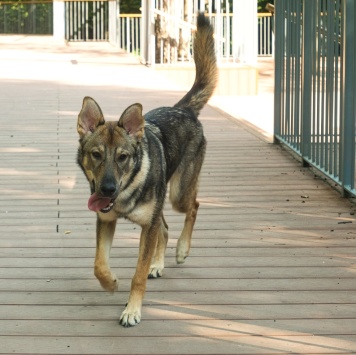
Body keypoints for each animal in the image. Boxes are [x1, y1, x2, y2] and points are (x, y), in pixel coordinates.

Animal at [76, 12, 217, 326]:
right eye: (96, 155)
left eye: (123, 157)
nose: (107, 189)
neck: (127, 191)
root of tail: (183, 109)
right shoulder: (106, 221)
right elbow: (98, 264)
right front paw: (111, 283)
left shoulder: (146, 227)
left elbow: (137, 276)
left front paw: (132, 310)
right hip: (161, 207)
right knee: (165, 227)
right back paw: (158, 264)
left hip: (178, 195)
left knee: (194, 207)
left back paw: (181, 250)